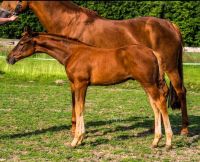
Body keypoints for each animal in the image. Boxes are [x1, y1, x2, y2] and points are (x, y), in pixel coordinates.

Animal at [1, 0, 189, 135]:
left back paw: (184, 129)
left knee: (180, 91)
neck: (69, 22)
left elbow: (75, 101)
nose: (3, 12)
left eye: (22, 43)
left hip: (170, 68)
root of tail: (171, 25)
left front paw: (74, 130)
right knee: (163, 92)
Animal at [7, 29, 173, 149]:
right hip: (147, 84)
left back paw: (168, 142)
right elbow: (81, 107)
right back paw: (156, 141)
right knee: (155, 106)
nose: (9, 58)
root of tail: (153, 52)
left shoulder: (80, 84)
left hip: (149, 83)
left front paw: (75, 141)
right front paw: (80, 139)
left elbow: (79, 108)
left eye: (22, 43)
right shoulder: (79, 85)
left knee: (160, 102)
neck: (72, 53)